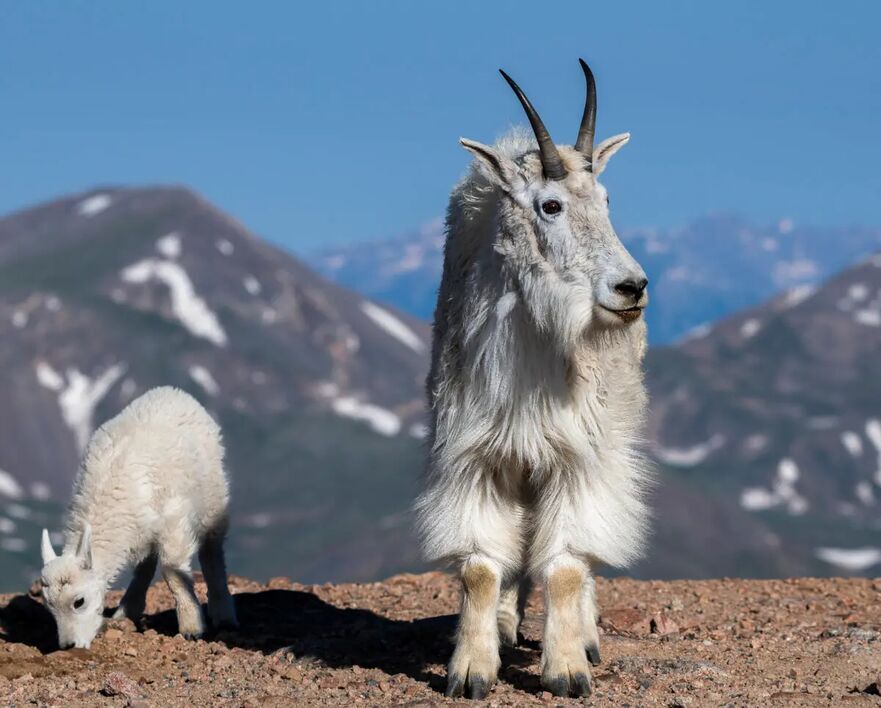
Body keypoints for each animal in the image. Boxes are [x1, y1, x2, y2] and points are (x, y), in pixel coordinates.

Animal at [416, 59, 648, 696]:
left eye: (607, 197)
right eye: (550, 206)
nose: (632, 288)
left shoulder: (576, 457)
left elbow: (567, 566)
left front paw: (566, 670)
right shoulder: (477, 455)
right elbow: (479, 567)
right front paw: (471, 669)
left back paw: (586, 638)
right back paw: (503, 628)